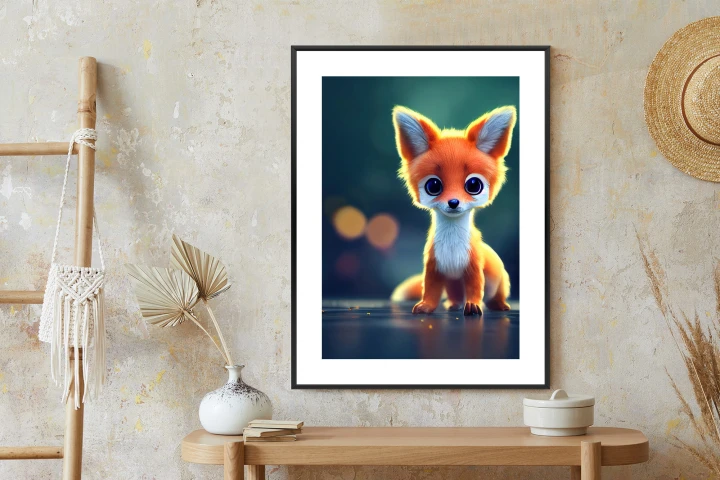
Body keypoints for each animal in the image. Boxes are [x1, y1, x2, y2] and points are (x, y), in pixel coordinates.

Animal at [389, 105, 517, 316]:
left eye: (473, 185)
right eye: (433, 186)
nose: (454, 202)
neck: (452, 246)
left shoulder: (473, 269)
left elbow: (475, 289)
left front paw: (473, 306)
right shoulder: (434, 268)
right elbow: (430, 291)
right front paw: (426, 306)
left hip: (500, 282)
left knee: (495, 296)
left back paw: (499, 305)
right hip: (453, 284)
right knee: (455, 296)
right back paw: (454, 305)